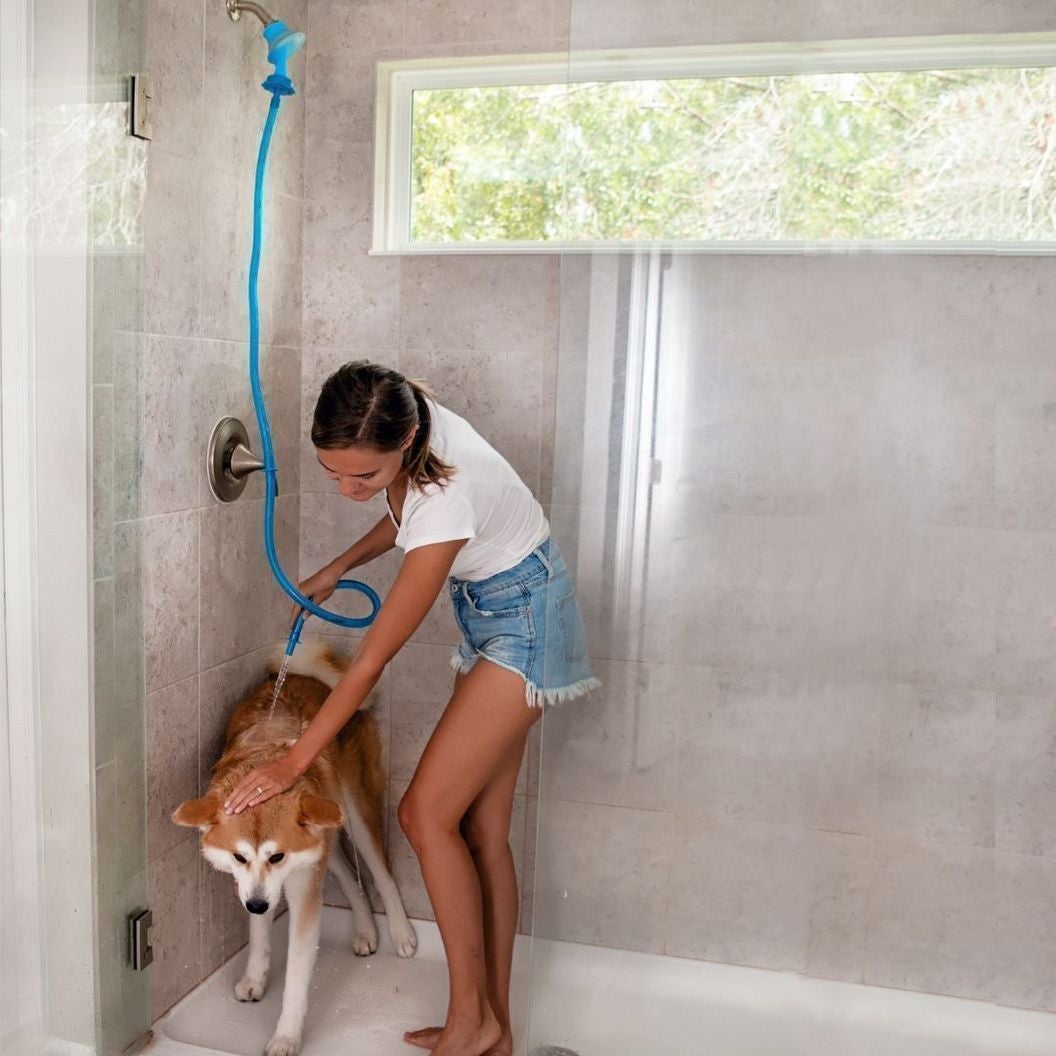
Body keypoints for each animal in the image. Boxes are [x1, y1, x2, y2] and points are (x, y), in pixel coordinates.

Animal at [171, 633, 413, 1056]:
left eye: (277, 856)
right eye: (238, 857)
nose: (256, 905)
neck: (268, 759)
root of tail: (307, 676)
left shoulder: (299, 883)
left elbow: (298, 976)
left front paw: (286, 1035)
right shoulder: (258, 882)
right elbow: (259, 935)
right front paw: (255, 977)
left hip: (354, 811)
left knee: (381, 872)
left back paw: (400, 933)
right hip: (326, 828)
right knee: (347, 875)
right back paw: (366, 930)